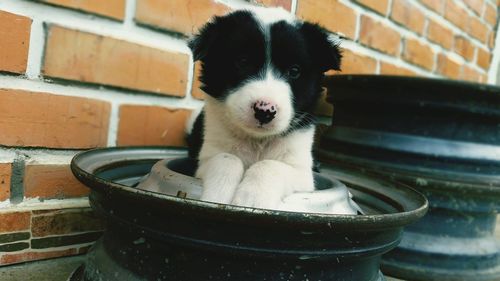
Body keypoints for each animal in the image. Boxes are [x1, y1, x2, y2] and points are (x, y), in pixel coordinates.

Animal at [186, 6, 342, 209]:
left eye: (294, 71)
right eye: (242, 62)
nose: (265, 111)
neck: (257, 140)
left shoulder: (302, 174)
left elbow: (269, 165)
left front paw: (252, 199)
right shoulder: (206, 157)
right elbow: (226, 158)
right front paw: (217, 196)